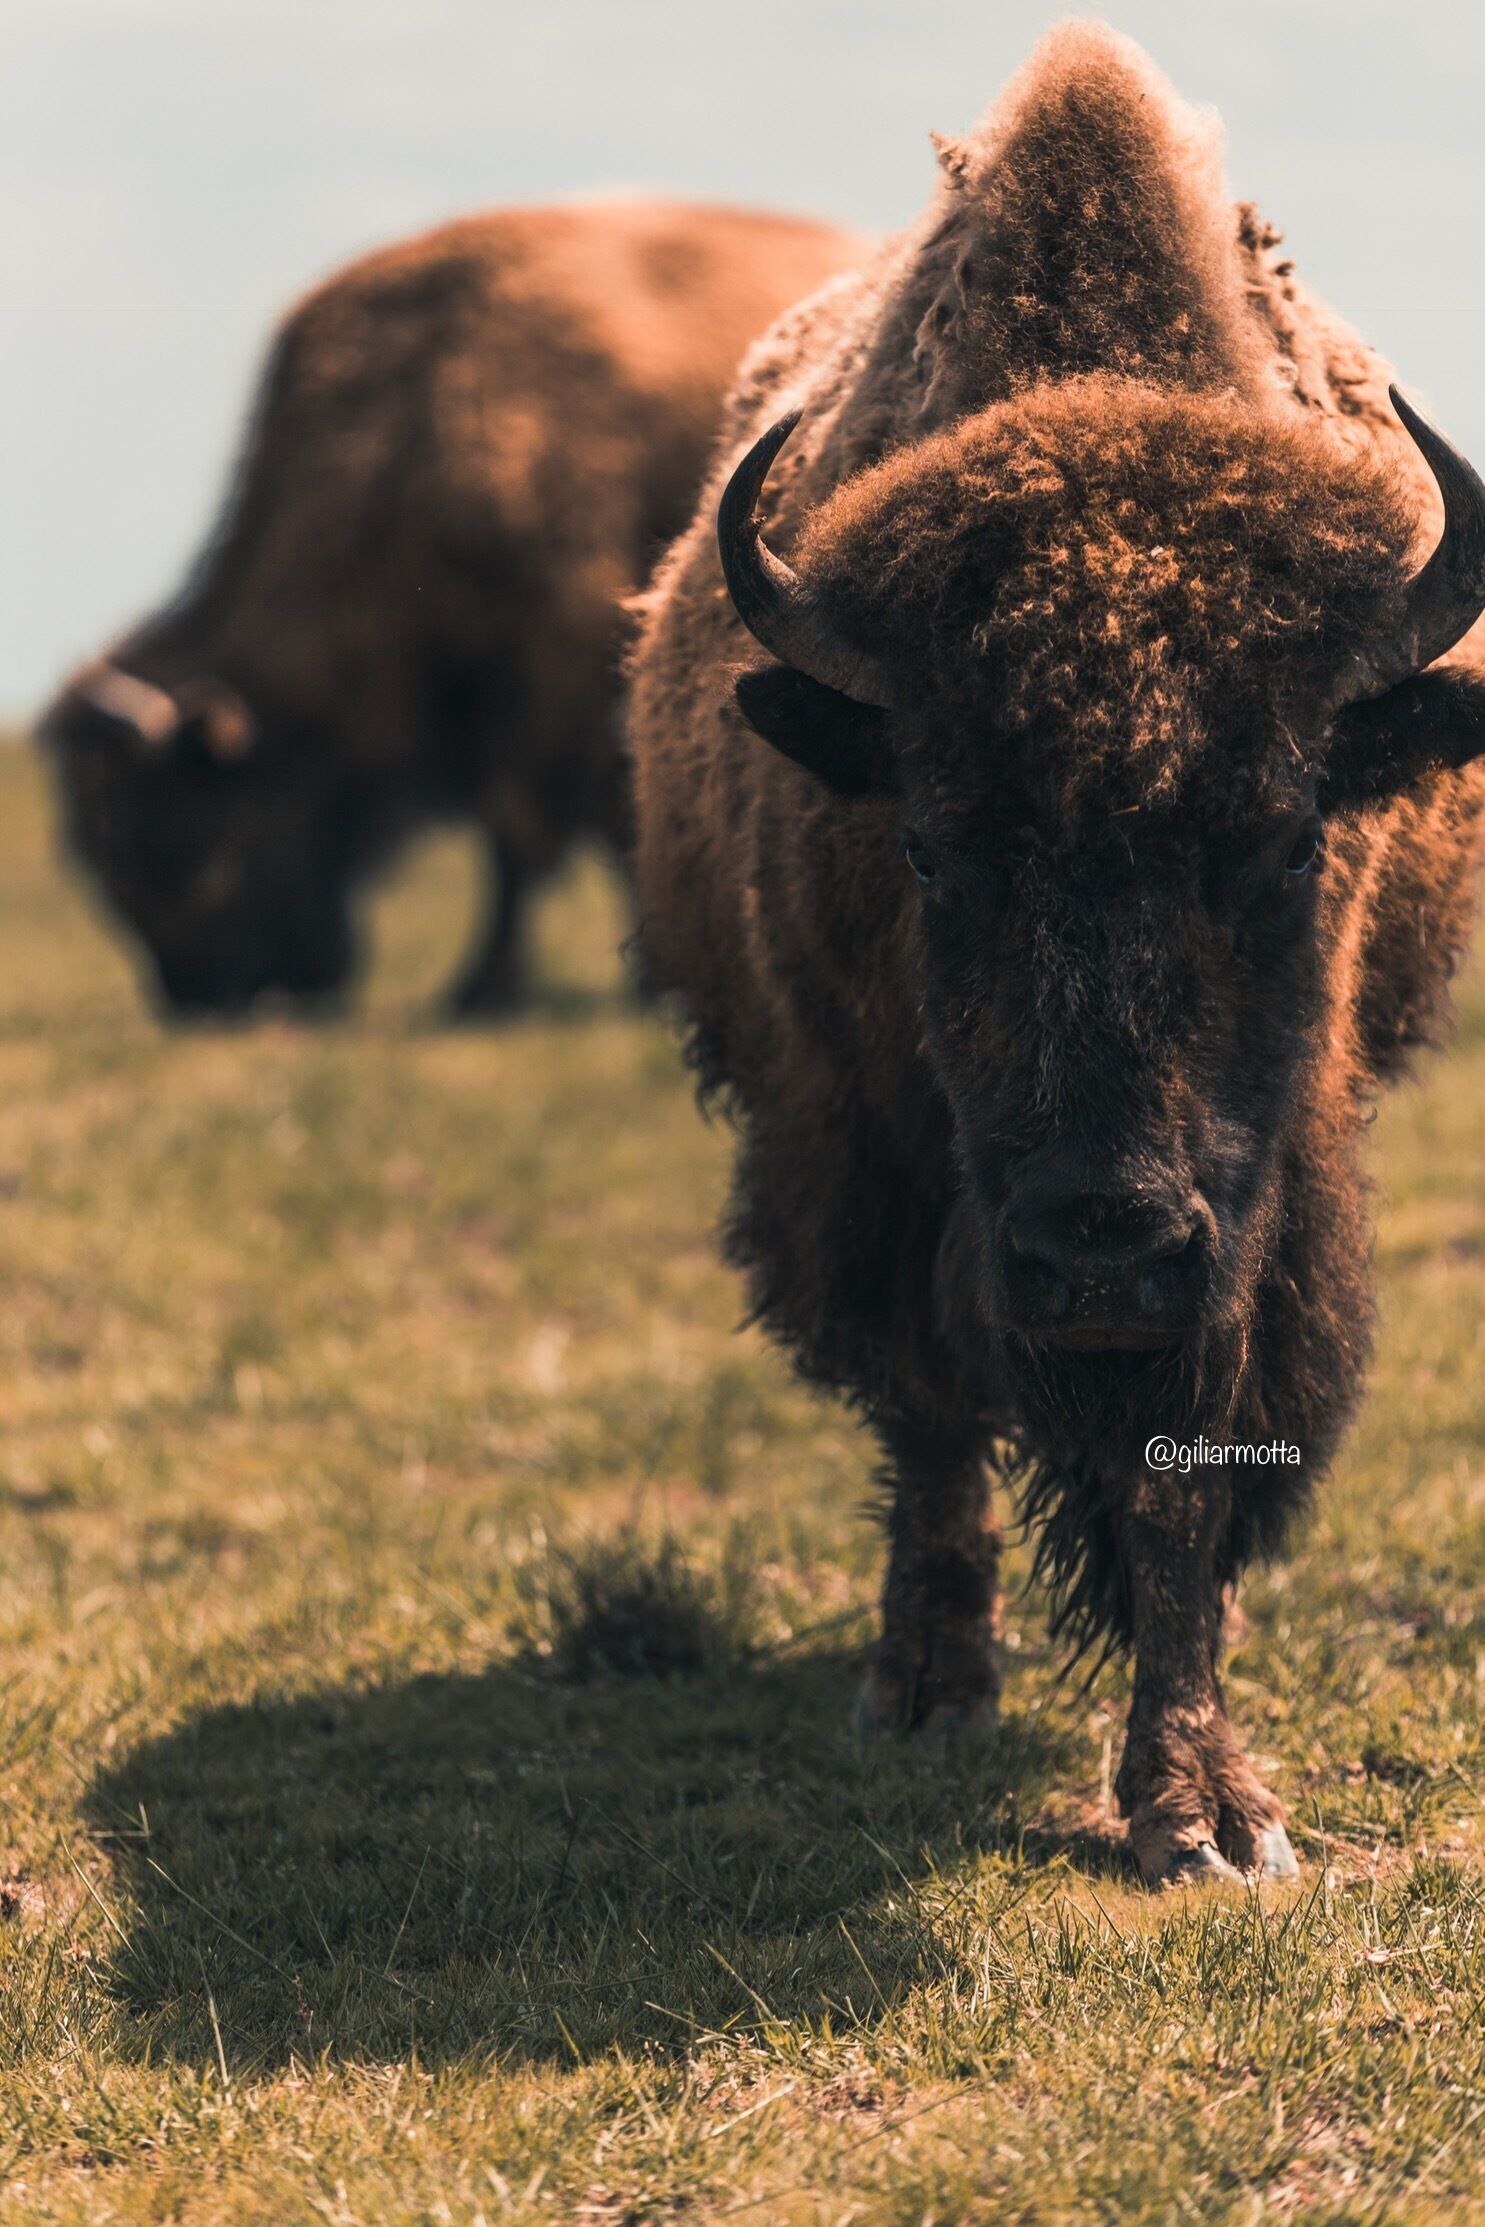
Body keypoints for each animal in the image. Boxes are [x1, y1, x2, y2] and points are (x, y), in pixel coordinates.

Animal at [627, 27, 1485, 1883]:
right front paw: (933, 1690)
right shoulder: (874, 1157)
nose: (1100, 1247)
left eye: (1290, 837)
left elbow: (1185, 1479)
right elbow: (932, 1402)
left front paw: (1208, 1813)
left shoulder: (1251, 1222)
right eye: (930, 845)